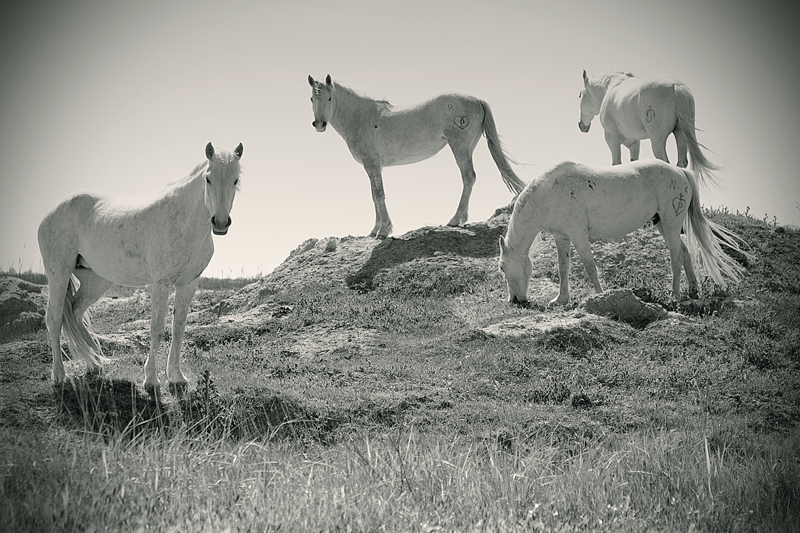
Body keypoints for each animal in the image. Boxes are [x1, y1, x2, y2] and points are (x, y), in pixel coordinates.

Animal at [38, 142, 244, 393]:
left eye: (235, 180)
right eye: (208, 179)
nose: (220, 222)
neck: (183, 221)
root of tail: (51, 213)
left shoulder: (188, 284)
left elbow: (179, 327)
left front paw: (176, 376)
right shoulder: (161, 284)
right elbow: (157, 328)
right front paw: (151, 379)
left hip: (96, 280)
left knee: (76, 312)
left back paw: (94, 364)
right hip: (58, 274)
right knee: (54, 319)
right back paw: (59, 375)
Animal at [308, 74, 526, 238]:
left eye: (329, 98)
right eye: (311, 99)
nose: (319, 124)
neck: (361, 117)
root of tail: (477, 99)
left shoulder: (372, 164)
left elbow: (379, 194)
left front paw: (384, 230)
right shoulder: (371, 167)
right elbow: (373, 196)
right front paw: (374, 230)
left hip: (460, 146)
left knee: (468, 177)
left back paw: (455, 220)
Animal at [498, 160, 750, 306]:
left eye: (502, 267)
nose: (515, 300)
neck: (552, 191)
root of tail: (679, 171)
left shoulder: (578, 235)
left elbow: (590, 266)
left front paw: (599, 296)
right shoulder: (562, 237)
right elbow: (563, 268)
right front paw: (560, 300)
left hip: (670, 223)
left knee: (676, 257)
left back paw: (675, 295)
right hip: (661, 223)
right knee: (686, 253)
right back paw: (693, 293)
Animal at [578, 70, 719, 188]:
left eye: (579, 95)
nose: (581, 125)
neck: (610, 87)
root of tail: (675, 86)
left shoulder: (612, 140)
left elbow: (617, 164)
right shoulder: (634, 143)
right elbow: (632, 164)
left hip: (657, 141)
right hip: (680, 134)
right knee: (681, 163)